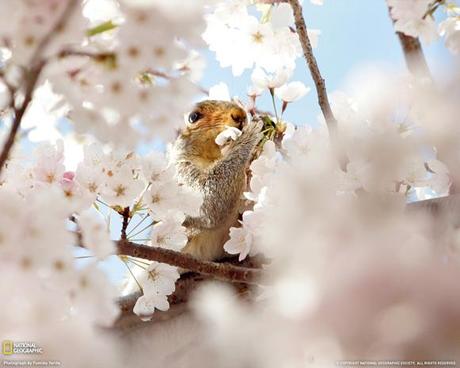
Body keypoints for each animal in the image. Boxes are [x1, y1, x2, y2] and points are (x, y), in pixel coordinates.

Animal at [171, 100, 262, 262]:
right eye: (193, 117)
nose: (240, 115)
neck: (209, 157)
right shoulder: (181, 172)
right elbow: (210, 199)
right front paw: (250, 132)